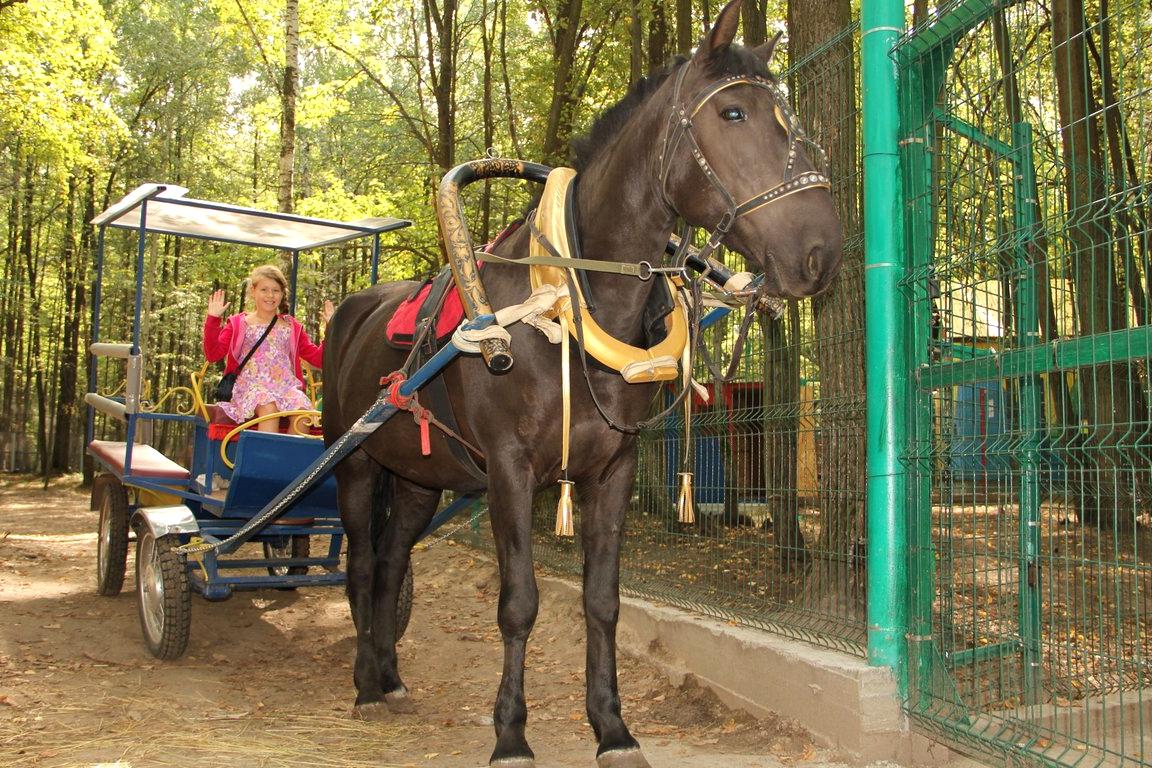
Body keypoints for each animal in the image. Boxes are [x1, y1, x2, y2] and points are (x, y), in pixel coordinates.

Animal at [320, 3, 843, 764]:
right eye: (734, 113)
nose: (822, 253)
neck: (566, 307)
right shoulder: (509, 470)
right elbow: (519, 602)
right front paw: (511, 733)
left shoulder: (613, 468)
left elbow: (603, 601)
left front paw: (612, 727)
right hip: (355, 463)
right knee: (361, 564)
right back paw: (362, 683)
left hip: (418, 476)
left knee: (391, 564)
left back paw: (388, 674)